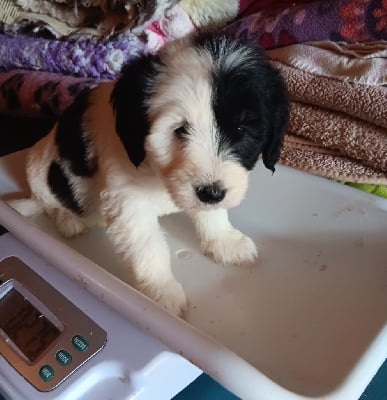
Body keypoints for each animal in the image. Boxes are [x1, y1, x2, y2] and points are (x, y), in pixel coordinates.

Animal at [9, 33, 288, 316]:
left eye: (241, 129)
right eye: (180, 130)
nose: (211, 194)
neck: (157, 174)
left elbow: (212, 214)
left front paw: (225, 241)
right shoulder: (128, 202)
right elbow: (149, 247)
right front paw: (161, 292)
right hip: (39, 170)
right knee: (49, 203)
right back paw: (69, 219)